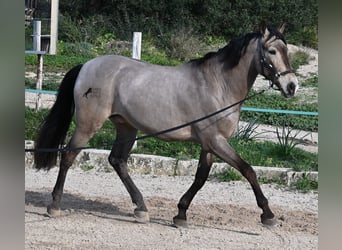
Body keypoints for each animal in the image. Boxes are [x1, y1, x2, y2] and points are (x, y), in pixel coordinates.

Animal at [33, 23, 298, 227]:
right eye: (272, 50)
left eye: (287, 50)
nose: (292, 86)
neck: (218, 85)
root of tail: (86, 65)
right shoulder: (216, 141)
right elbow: (248, 170)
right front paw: (268, 215)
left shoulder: (209, 144)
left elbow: (201, 178)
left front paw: (180, 214)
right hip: (88, 125)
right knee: (68, 156)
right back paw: (55, 205)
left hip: (126, 127)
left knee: (117, 161)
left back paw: (141, 209)